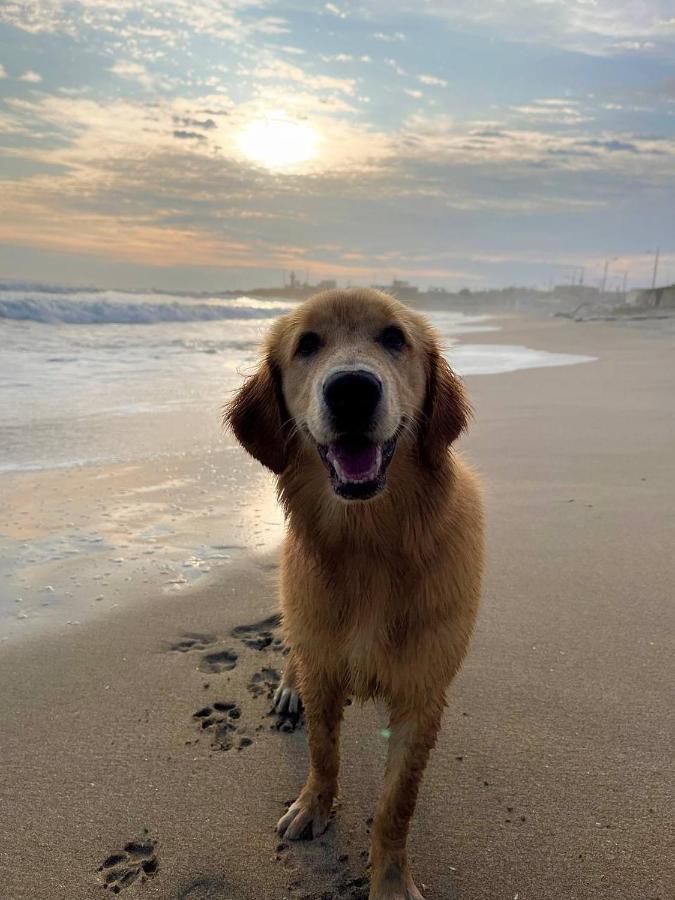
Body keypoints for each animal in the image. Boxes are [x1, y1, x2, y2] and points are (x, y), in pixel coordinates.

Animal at [230, 290, 484, 900]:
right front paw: (313, 806)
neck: (369, 545)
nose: (351, 390)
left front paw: (389, 881)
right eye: (307, 344)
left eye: (395, 338)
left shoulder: (422, 693)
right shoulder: (325, 665)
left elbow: (397, 804)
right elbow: (323, 753)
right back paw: (287, 687)